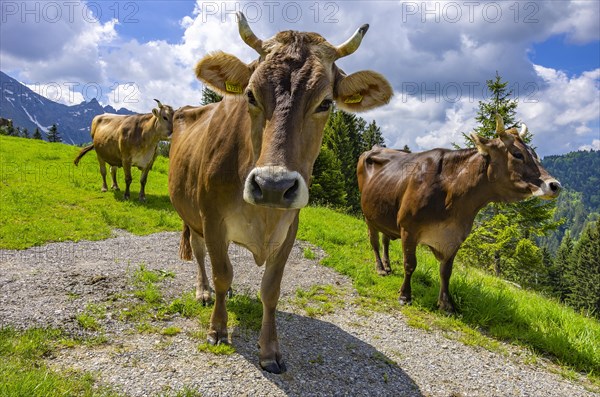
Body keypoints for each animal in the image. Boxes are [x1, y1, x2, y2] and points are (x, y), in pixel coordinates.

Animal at [169, 12, 394, 372]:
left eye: (325, 103)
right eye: (250, 95)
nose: (273, 186)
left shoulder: (290, 228)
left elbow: (270, 290)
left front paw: (270, 350)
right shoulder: (213, 219)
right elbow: (221, 274)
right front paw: (218, 328)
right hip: (192, 217)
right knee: (202, 255)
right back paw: (203, 292)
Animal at [358, 114, 560, 312]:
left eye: (536, 155)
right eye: (518, 154)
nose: (555, 185)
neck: (452, 194)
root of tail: (375, 148)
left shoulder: (455, 236)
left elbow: (446, 271)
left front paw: (446, 304)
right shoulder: (408, 228)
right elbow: (410, 264)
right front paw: (405, 295)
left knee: (385, 240)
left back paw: (388, 266)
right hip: (368, 216)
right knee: (374, 241)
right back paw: (380, 268)